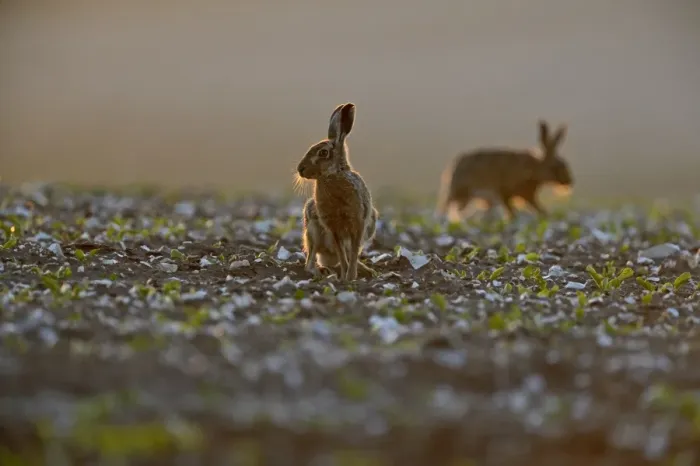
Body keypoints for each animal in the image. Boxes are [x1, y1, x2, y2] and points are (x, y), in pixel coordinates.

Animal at [296, 102, 378, 281]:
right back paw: (324, 273)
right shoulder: (333, 227)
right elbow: (343, 254)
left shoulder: (358, 222)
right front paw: (345, 277)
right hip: (312, 230)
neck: (332, 175)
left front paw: (350, 276)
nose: (300, 169)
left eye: (323, 152)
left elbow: (352, 253)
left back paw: (366, 271)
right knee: (310, 262)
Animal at [436, 120, 573, 220]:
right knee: (451, 208)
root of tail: (450, 172)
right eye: (557, 166)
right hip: (464, 194)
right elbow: (512, 210)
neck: (535, 168)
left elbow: (536, 208)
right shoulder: (506, 192)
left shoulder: (527, 196)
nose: (570, 182)